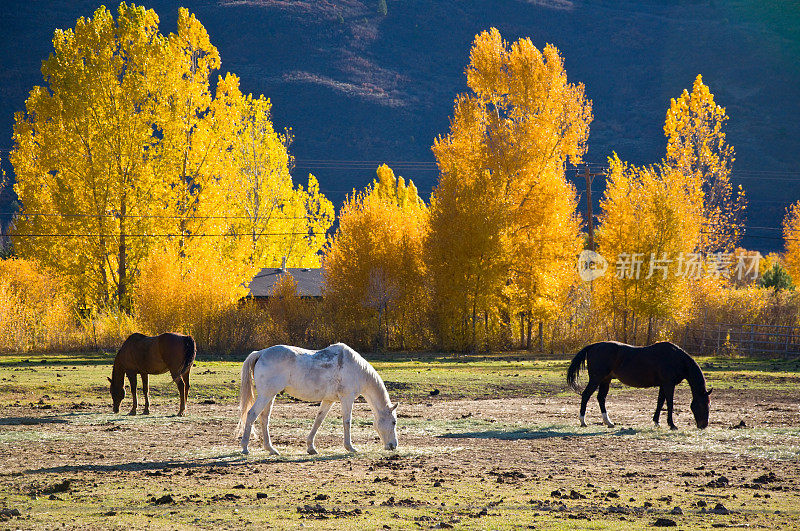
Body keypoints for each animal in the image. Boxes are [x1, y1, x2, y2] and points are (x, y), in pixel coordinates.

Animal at [238, 344, 400, 458]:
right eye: (393, 422)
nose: (393, 445)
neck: (357, 369)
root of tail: (261, 353)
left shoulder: (328, 400)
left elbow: (318, 421)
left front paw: (311, 447)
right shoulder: (347, 398)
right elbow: (347, 422)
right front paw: (350, 447)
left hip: (270, 395)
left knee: (264, 418)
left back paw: (271, 449)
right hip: (266, 395)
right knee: (251, 414)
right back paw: (245, 448)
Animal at [564, 340, 708, 432]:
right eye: (702, 405)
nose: (703, 425)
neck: (675, 358)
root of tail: (593, 346)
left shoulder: (663, 385)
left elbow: (660, 403)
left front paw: (656, 422)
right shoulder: (668, 384)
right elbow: (670, 404)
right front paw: (672, 425)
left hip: (605, 380)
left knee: (601, 398)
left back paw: (609, 422)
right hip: (596, 379)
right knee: (586, 395)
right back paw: (583, 421)